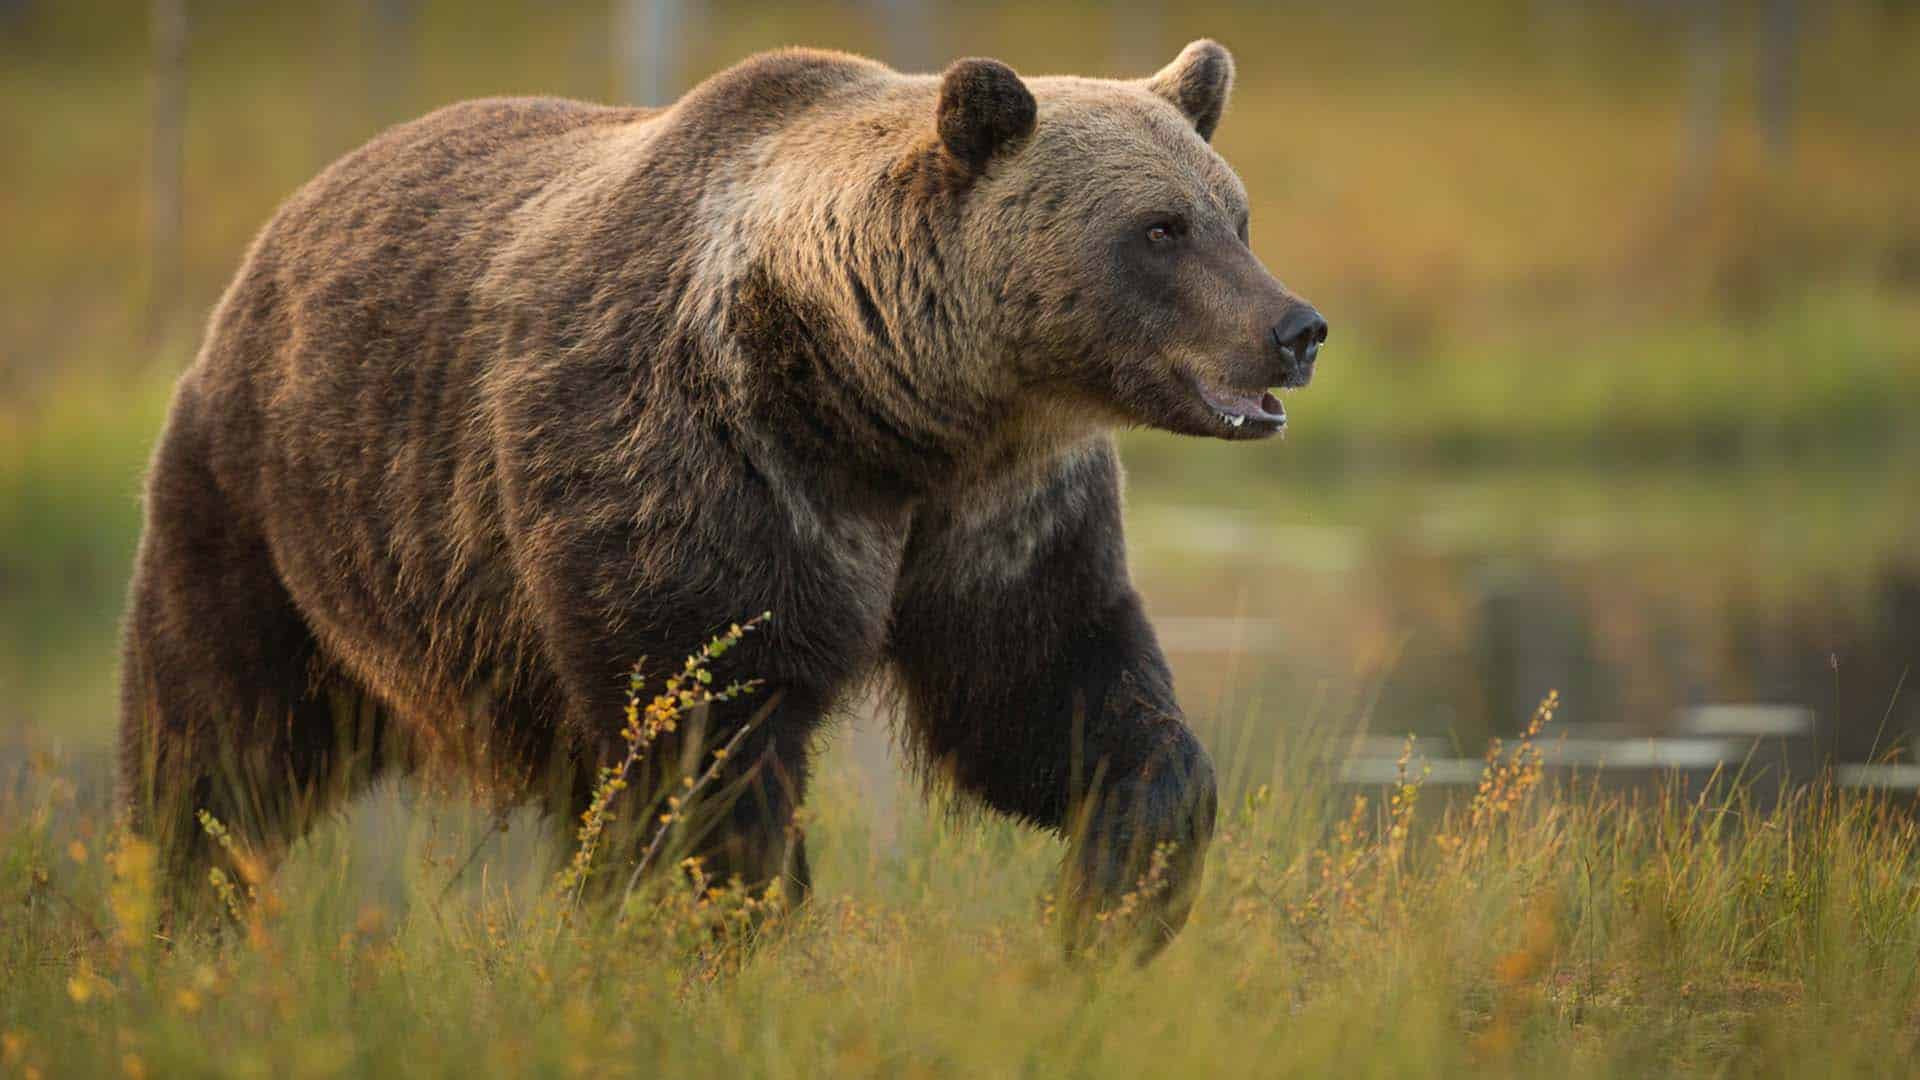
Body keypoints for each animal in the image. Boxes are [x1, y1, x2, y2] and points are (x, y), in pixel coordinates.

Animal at [117, 38, 1326, 953]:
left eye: (1236, 216)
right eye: (1159, 229)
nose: (1296, 328)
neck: (886, 406)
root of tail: (293, 216)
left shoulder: (1001, 515)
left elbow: (1053, 698)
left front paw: (1108, 909)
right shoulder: (700, 469)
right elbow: (711, 739)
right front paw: (730, 933)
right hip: (278, 512)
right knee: (216, 744)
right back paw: (177, 924)